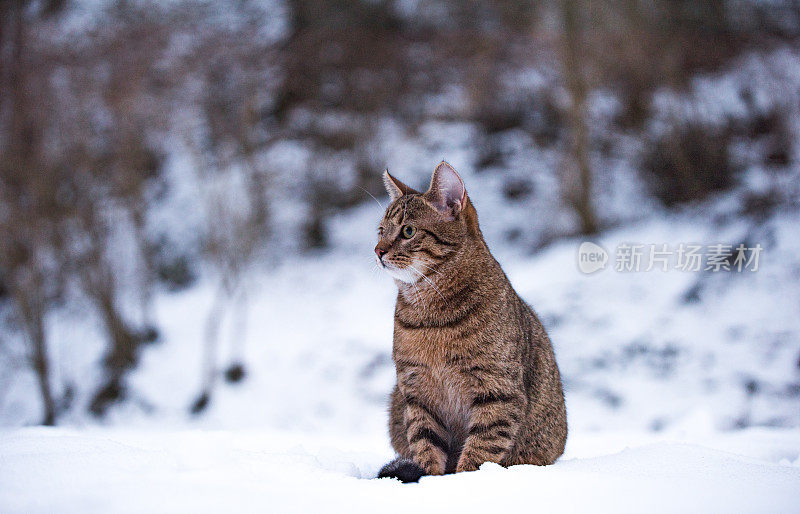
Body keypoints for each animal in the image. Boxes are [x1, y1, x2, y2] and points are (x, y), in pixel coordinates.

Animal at [376, 161, 568, 480]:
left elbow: (481, 449)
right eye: (380, 231)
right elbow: (425, 443)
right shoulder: (417, 392)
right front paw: (430, 478)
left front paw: (465, 480)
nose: (377, 250)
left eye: (408, 230)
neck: (430, 316)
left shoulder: (497, 388)